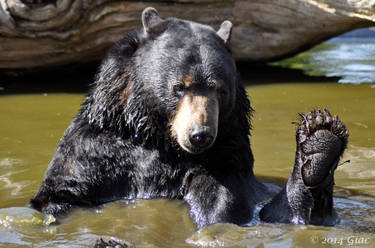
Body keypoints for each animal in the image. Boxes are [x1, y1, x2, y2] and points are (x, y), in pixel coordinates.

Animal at [29, 6, 350, 228]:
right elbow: (62, 190)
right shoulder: (98, 150)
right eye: (179, 86)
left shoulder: (226, 155)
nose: (200, 135)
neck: (157, 138)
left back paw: (319, 146)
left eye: (220, 90)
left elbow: (222, 198)